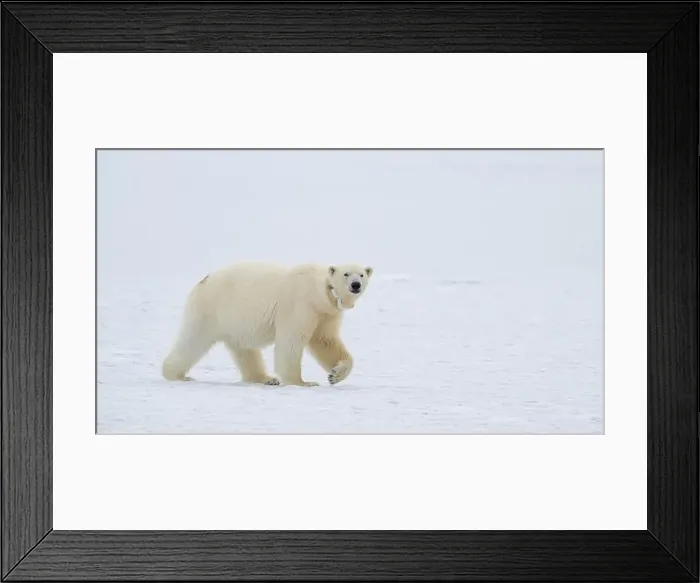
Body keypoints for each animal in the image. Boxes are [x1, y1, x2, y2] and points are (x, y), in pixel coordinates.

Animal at [161, 262, 373, 387]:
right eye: (346, 274)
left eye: (362, 274)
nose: (355, 285)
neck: (318, 292)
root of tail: (204, 280)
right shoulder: (300, 305)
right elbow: (291, 340)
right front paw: (301, 382)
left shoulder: (326, 313)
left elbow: (326, 341)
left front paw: (335, 374)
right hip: (211, 311)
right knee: (193, 341)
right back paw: (177, 375)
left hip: (236, 321)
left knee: (244, 350)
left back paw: (265, 378)